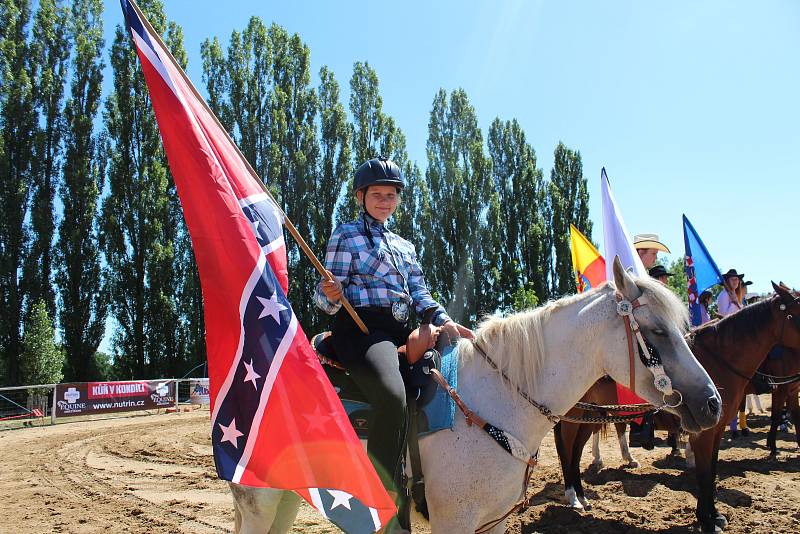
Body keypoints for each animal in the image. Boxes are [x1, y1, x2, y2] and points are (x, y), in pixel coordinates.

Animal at [228, 258, 720, 532]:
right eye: (656, 332)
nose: (712, 403)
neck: (495, 401)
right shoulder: (454, 520)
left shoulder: (493, 521)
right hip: (259, 501)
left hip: (290, 497)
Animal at [552, 284, 800, 532]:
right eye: (796, 314)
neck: (720, 361)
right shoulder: (703, 434)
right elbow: (704, 474)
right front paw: (706, 520)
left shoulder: (716, 429)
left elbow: (712, 470)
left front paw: (715, 515)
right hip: (573, 415)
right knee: (566, 449)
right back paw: (573, 495)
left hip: (590, 414)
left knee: (576, 451)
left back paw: (582, 496)